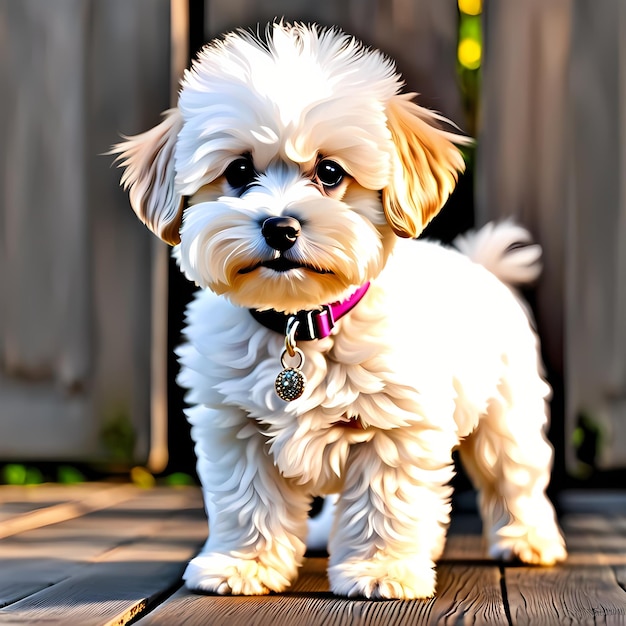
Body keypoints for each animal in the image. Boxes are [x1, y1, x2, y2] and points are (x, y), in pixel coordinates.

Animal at [112, 20, 564, 596]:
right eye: (238, 170)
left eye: (329, 172)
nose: (280, 226)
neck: (300, 323)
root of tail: (480, 265)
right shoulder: (235, 427)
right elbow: (248, 501)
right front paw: (243, 563)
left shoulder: (396, 427)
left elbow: (382, 502)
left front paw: (380, 569)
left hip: (509, 413)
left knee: (515, 475)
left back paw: (529, 539)